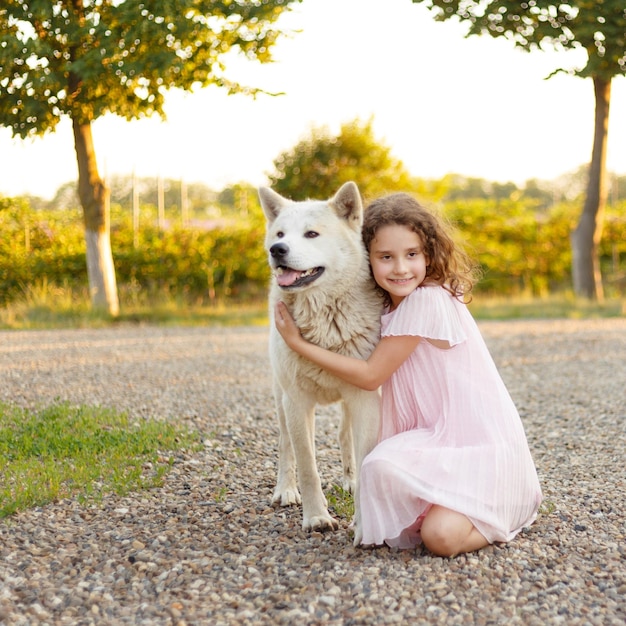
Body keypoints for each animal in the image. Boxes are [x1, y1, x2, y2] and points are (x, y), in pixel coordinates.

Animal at [258, 180, 380, 540]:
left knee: (344, 438)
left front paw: (364, 522)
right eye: (280, 234)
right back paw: (285, 490)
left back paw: (349, 482)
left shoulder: (364, 398)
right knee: (286, 446)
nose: (277, 250)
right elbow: (308, 466)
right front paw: (316, 517)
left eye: (311, 234)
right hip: (281, 399)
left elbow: (362, 457)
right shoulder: (297, 401)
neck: (326, 320)